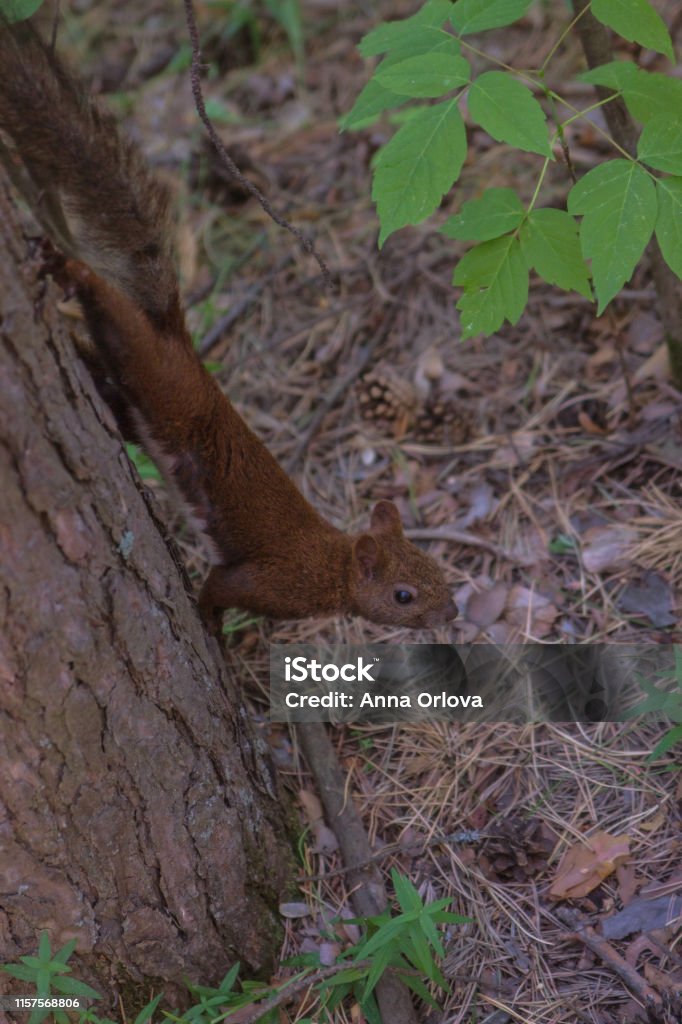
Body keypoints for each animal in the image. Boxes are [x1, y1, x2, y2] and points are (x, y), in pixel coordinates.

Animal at [1, 22, 456, 630]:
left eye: (436, 567)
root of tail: (178, 339)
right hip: (157, 375)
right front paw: (212, 632)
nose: (453, 611)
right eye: (404, 595)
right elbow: (217, 590)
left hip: (140, 401)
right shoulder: (272, 582)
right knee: (117, 322)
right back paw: (72, 273)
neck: (333, 566)